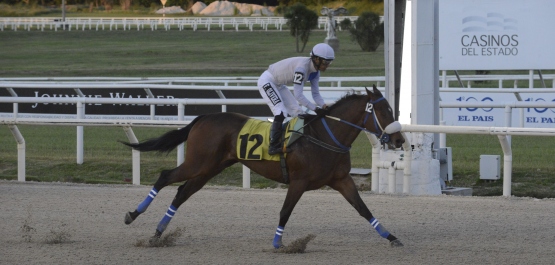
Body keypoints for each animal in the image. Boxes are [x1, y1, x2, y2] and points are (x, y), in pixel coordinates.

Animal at [124, 85, 406, 248]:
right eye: (384, 110)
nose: (399, 140)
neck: (326, 137)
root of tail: (202, 117)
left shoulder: (341, 180)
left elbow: (363, 209)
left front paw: (391, 237)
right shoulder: (299, 182)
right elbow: (285, 211)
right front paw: (278, 243)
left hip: (209, 168)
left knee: (182, 193)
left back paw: (158, 233)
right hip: (198, 162)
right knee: (164, 177)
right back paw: (133, 215)